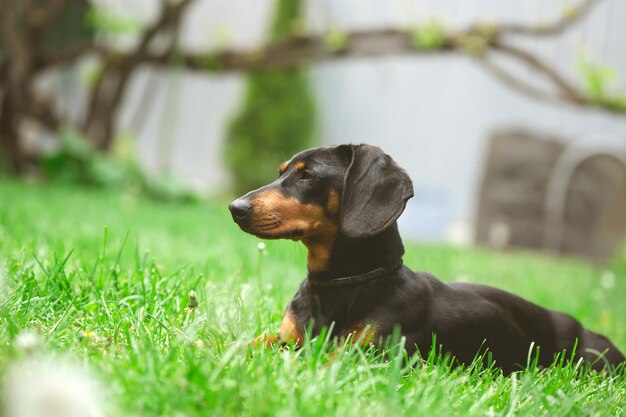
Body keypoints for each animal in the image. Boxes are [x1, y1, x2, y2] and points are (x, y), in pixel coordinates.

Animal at [229, 144, 624, 374]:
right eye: (281, 172)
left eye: (307, 175)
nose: (235, 208)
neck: (343, 285)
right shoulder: (288, 337)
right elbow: (254, 342)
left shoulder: (368, 355)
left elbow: (314, 361)